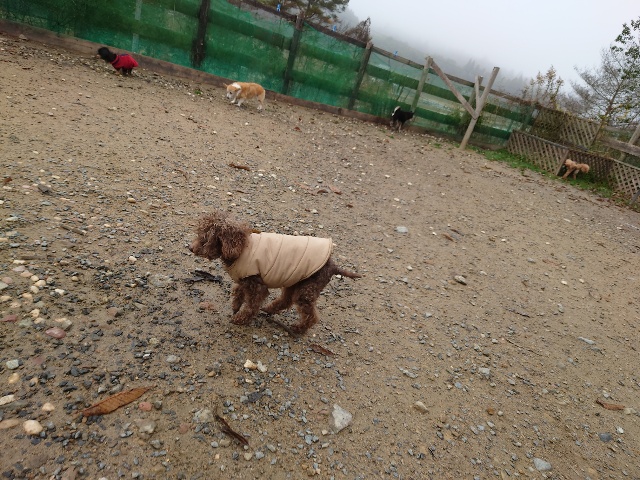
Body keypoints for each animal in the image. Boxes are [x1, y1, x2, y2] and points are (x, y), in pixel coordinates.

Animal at [189, 210, 361, 335]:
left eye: (204, 238)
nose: (190, 248)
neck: (241, 248)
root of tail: (332, 266)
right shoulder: (244, 279)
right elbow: (238, 292)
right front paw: (236, 307)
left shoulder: (257, 285)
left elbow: (251, 306)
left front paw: (240, 319)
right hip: (295, 281)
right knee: (286, 300)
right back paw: (269, 310)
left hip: (306, 289)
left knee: (310, 315)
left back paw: (299, 328)